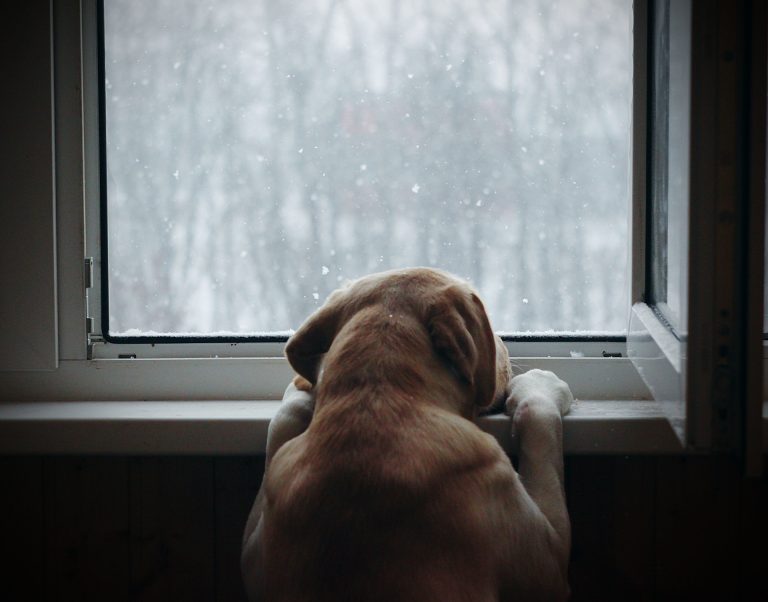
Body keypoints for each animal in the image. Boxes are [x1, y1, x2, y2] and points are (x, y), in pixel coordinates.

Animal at [240, 268, 568, 600]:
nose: (503, 340)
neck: (375, 396)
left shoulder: (252, 561)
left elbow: (282, 422)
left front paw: (301, 392)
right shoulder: (551, 559)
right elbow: (538, 416)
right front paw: (541, 386)